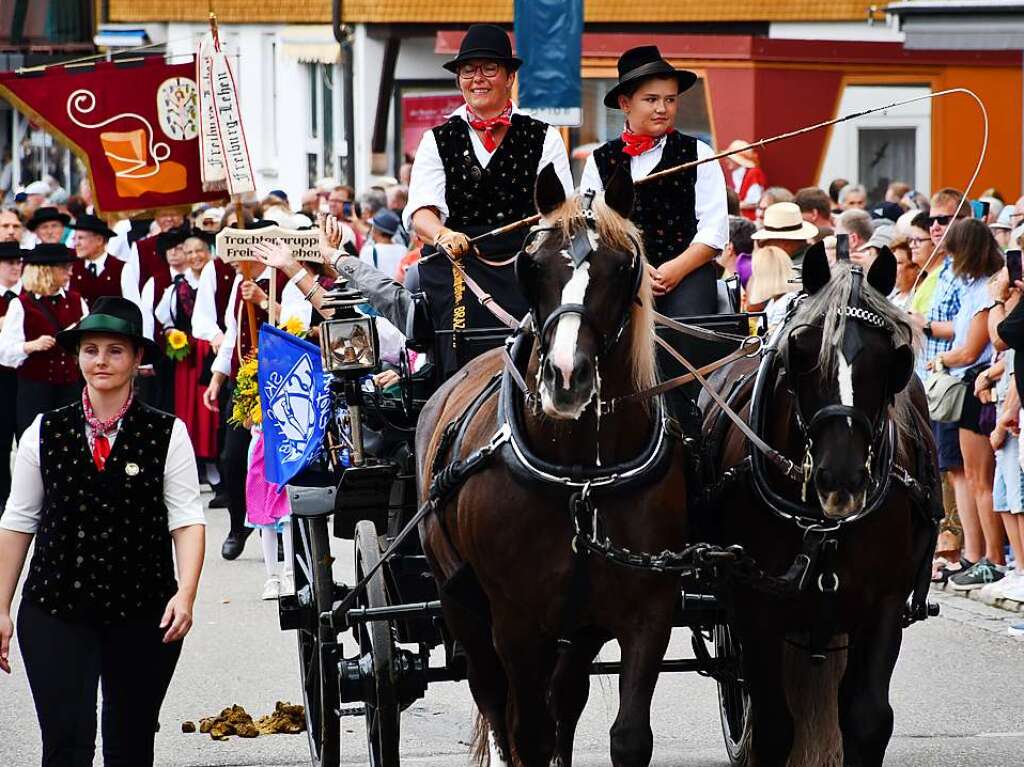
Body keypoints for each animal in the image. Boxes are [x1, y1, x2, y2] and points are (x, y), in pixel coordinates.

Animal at [413, 167, 688, 765]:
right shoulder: (516, 622)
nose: (565, 377)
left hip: (577, 627)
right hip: (460, 600)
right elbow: (530, 737)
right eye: (533, 265)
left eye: (623, 267)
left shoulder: (650, 610)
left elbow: (628, 737)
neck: (579, 476)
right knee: (495, 698)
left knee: (566, 695)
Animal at [700, 245, 937, 765]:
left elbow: (867, 719)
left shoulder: (883, 603)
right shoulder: (755, 606)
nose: (840, 479)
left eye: (890, 358)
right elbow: (773, 728)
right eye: (802, 351)